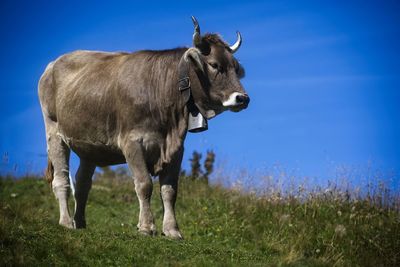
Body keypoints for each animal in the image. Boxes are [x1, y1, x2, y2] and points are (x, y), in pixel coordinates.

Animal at [38, 16, 250, 240]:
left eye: (236, 68)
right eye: (214, 64)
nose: (242, 98)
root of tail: (53, 64)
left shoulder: (176, 149)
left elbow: (169, 190)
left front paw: (172, 230)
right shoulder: (132, 143)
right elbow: (144, 184)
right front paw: (146, 227)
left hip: (90, 147)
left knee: (83, 184)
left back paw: (80, 223)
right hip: (54, 133)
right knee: (61, 180)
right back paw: (66, 222)